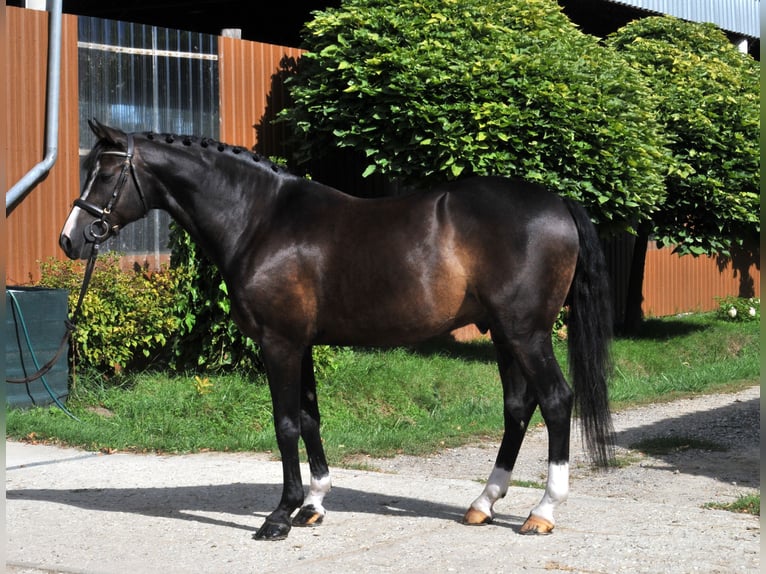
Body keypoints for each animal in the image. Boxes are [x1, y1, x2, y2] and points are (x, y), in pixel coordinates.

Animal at [60, 119, 614, 541]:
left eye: (105, 174)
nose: (70, 240)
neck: (261, 219)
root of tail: (558, 202)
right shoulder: (300, 344)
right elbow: (309, 419)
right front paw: (313, 505)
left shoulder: (279, 344)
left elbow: (285, 424)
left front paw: (279, 517)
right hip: (503, 334)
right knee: (518, 407)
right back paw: (484, 502)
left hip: (527, 333)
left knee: (557, 400)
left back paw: (542, 511)